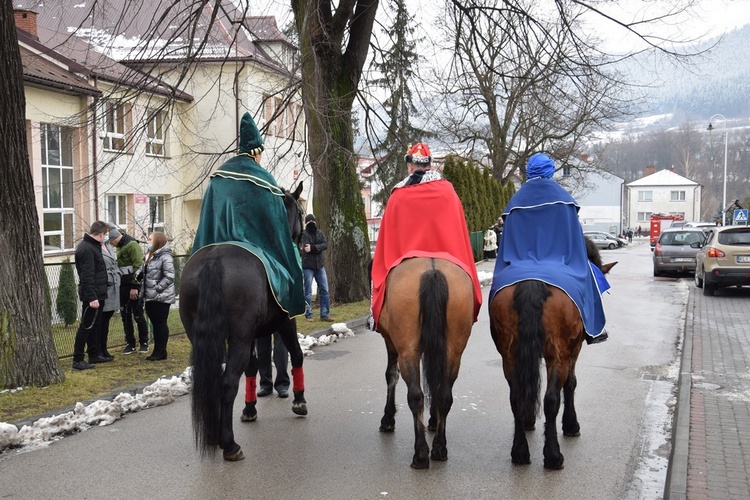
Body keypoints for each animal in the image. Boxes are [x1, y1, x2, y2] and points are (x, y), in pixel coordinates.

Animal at [181, 183, 306, 460]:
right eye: (301, 211)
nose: (302, 239)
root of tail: (213, 260)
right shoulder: (286, 321)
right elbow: (296, 354)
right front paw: (299, 400)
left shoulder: (252, 335)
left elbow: (252, 367)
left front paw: (249, 409)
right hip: (239, 339)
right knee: (228, 383)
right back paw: (229, 444)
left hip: (205, 339)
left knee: (214, 381)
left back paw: (215, 435)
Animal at [376, 258, 476, 468]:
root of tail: (433, 271)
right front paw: (433, 420)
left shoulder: (390, 341)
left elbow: (391, 375)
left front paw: (388, 418)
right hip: (452, 352)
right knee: (444, 395)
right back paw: (439, 448)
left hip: (408, 351)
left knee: (415, 395)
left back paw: (421, 453)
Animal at [488, 237, 616, 468]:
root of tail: (532, 282)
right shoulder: (573, 350)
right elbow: (571, 384)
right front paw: (571, 425)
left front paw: (529, 420)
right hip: (558, 357)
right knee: (551, 399)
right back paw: (553, 456)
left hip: (510, 358)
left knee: (516, 397)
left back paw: (520, 452)